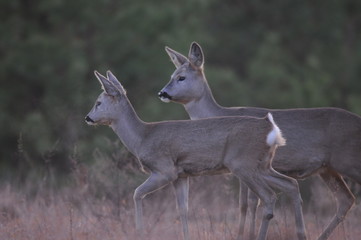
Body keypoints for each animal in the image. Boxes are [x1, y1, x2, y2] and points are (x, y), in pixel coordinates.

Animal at [85, 70, 306, 240]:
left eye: (98, 102)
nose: (88, 118)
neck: (142, 138)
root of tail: (271, 129)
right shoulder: (181, 175)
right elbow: (183, 209)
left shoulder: (164, 169)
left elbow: (137, 193)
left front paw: (139, 232)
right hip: (263, 165)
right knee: (291, 184)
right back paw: (301, 234)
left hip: (243, 164)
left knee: (269, 197)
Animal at [158, 41, 360, 240]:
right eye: (171, 75)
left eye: (181, 77)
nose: (162, 93)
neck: (218, 115)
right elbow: (248, 203)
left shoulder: (242, 164)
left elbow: (247, 203)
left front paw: (245, 235)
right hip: (328, 169)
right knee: (345, 199)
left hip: (348, 161)